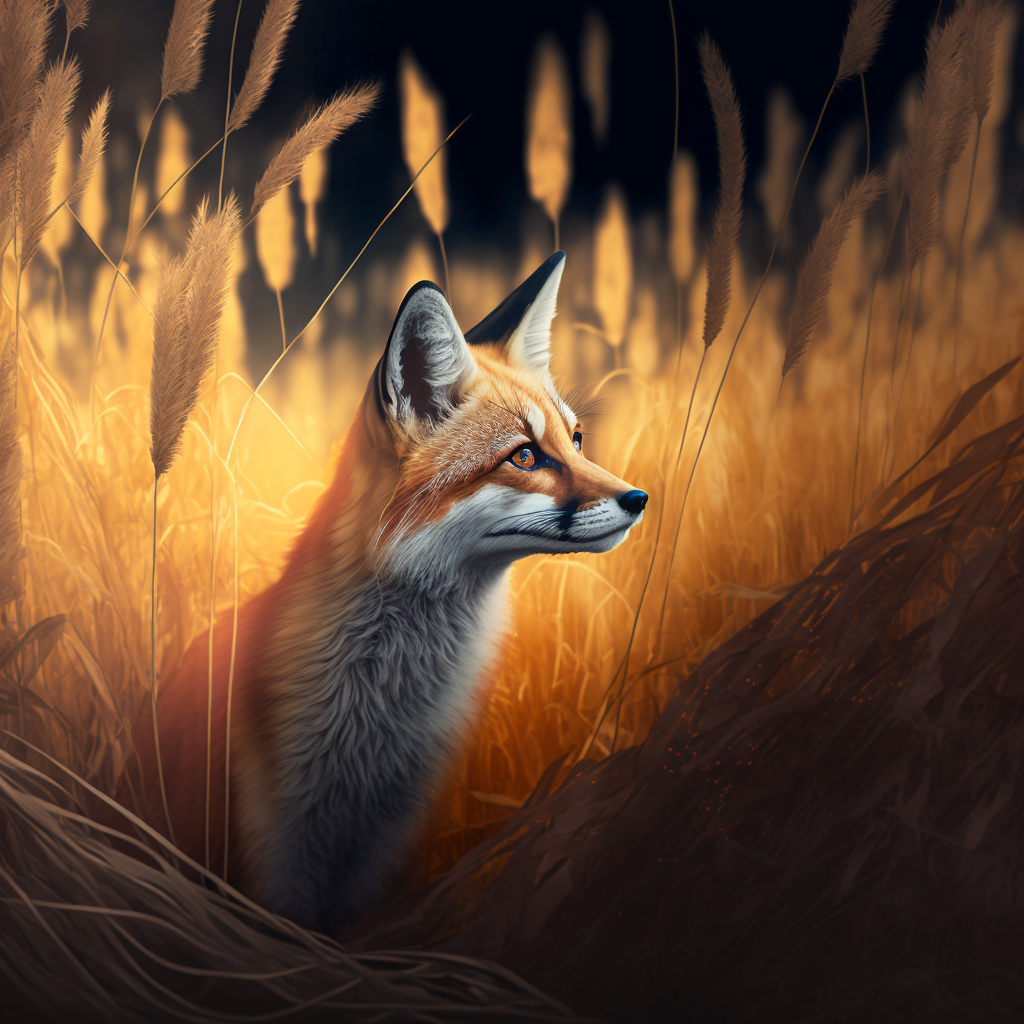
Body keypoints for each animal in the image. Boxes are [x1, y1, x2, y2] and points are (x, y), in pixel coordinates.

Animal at [122, 251, 648, 931]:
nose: (639, 498)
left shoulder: (389, 840)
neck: (377, 728)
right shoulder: (275, 849)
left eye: (575, 440)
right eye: (525, 457)